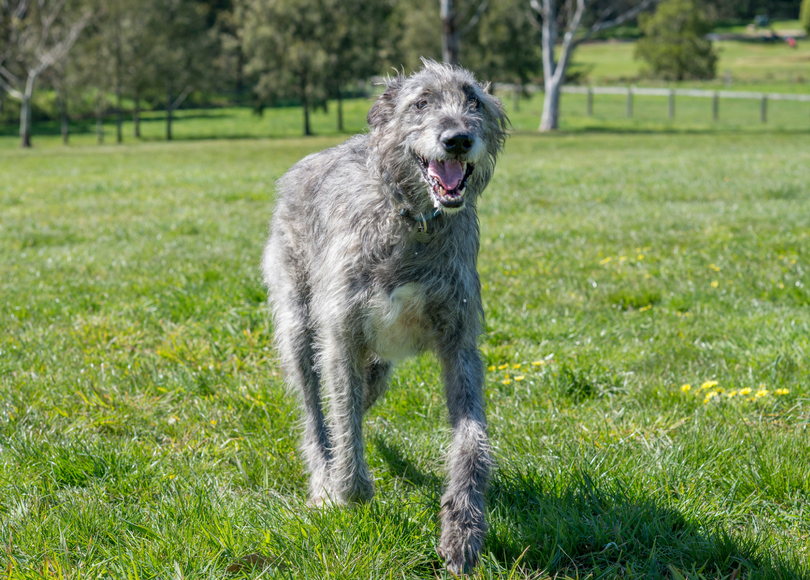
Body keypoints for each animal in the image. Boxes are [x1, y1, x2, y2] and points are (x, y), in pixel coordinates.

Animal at [264, 60, 504, 572]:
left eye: (473, 100)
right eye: (421, 102)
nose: (457, 139)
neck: (416, 222)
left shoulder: (459, 345)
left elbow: (471, 440)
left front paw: (463, 528)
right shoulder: (342, 336)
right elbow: (343, 422)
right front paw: (343, 489)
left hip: (378, 364)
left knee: (359, 396)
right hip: (299, 325)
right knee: (316, 411)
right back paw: (323, 479)